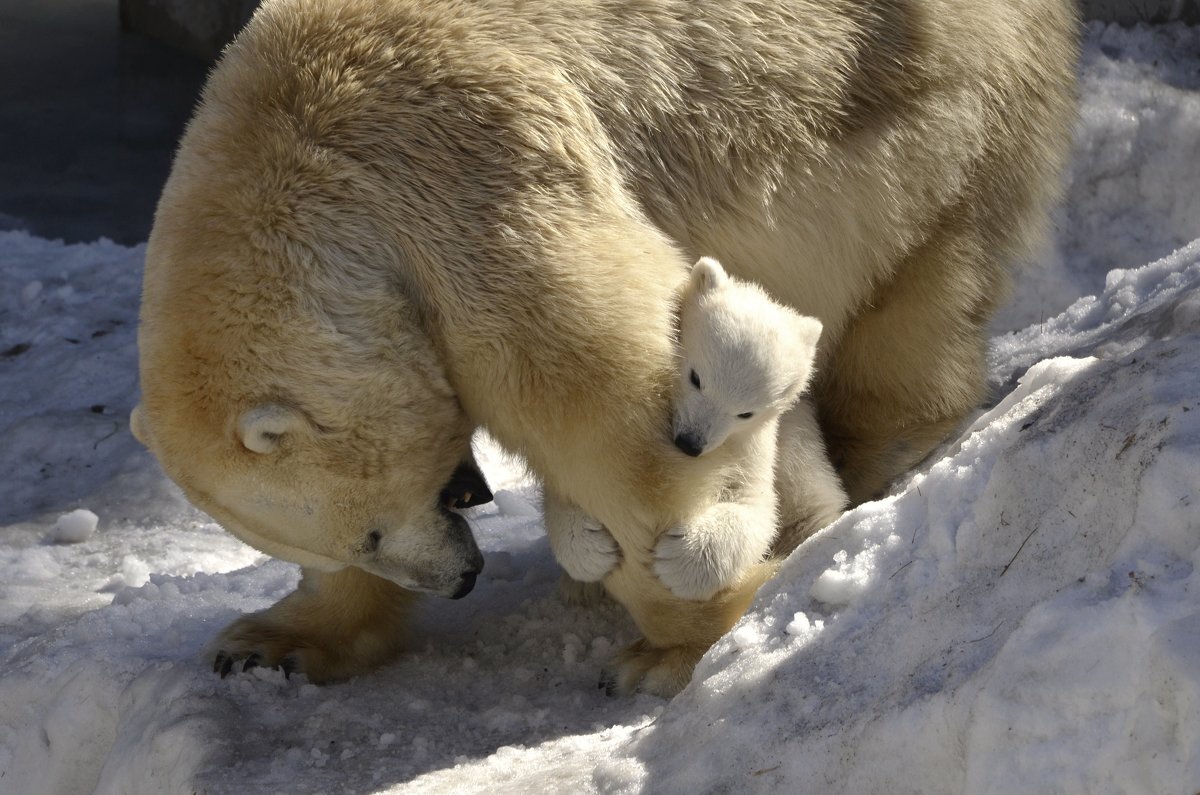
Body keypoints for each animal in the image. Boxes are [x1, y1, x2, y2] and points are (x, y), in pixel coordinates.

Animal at [131, 0, 1080, 696]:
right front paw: (268, 641)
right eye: (346, 542)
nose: (461, 578)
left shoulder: (466, 169)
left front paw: (675, 649)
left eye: (368, 527)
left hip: (921, 117)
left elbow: (616, 415)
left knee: (913, 293)